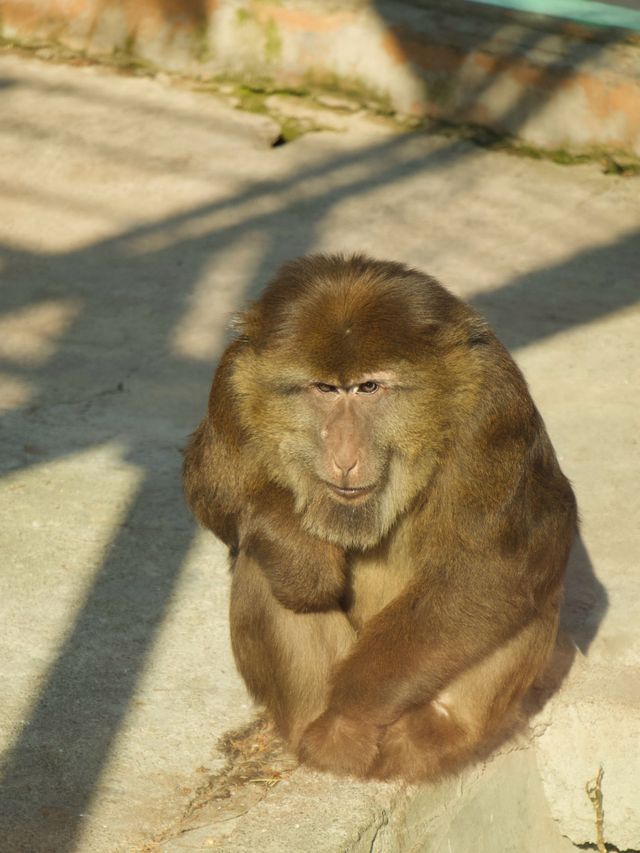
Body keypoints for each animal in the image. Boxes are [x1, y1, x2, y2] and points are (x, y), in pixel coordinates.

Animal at [182, 253, 576, 780]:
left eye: (369, 387)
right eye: (325, 389)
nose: (344, 453)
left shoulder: (494, 405)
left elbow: (498, 565)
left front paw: (352, 707)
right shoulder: (232, 378)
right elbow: (210, 485)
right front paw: (300, 552)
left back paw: (432, 726)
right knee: (261, 564)